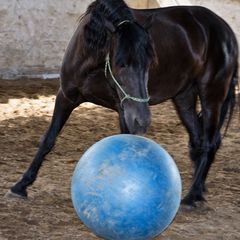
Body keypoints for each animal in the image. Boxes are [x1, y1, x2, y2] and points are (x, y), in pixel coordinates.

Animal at [9, 0, 238, 206]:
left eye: (150, 63)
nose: (143, 121)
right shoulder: (67, 97)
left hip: (212, 95)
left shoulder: (124, 110)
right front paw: (21, 185)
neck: (92, 63)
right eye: (121, 63)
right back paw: (198, 188)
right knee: (199, 140)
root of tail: (225, 31)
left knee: (209, 142)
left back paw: (192, 196)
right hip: (184, 98)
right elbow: (48, 140)